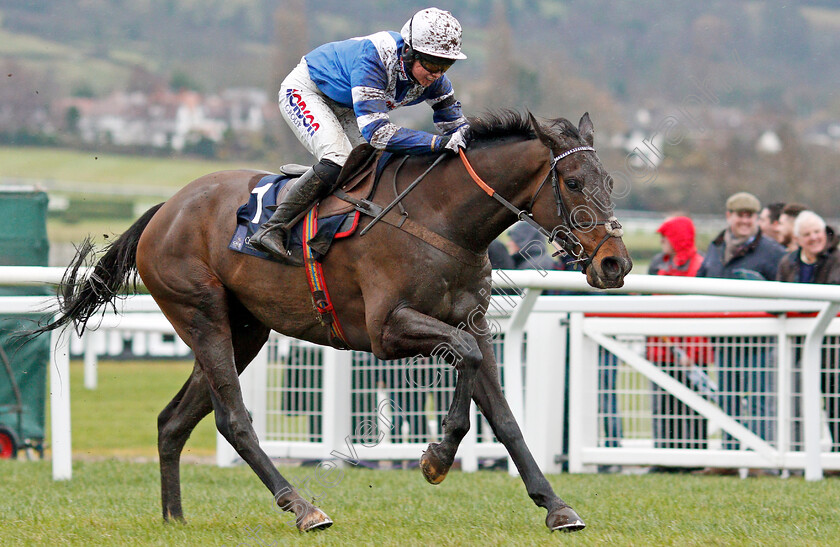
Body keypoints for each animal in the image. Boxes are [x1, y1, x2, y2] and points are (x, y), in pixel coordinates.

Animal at [37, 111, 632, 536]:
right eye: (573, 182)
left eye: (608, 179)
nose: (615, 264)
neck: (444, 220)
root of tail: (164, 210)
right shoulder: (387, 330)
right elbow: (462, 356)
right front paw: (436, 458)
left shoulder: (476, 322)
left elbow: (503, 414)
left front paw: (555, 506)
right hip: (201, 315)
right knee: (233, 419)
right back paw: (302, 507)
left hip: (245, 330)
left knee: (173, 420)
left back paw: (174, 519)